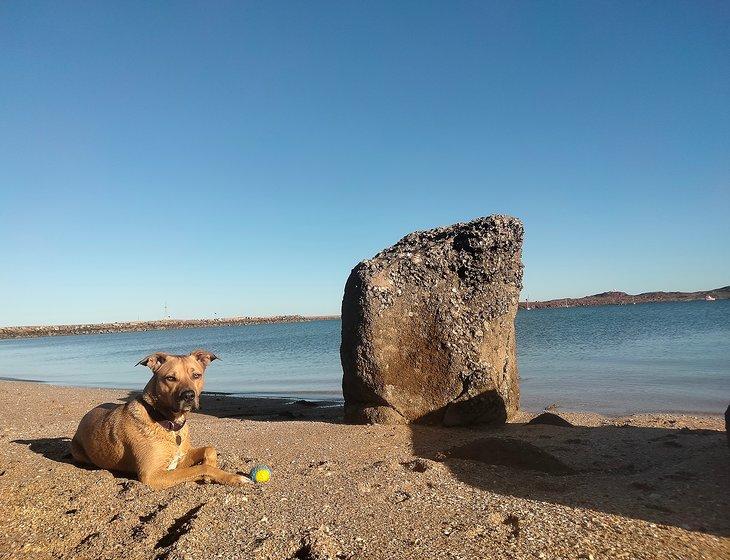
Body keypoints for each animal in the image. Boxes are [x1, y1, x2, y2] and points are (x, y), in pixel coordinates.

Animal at [70, 348, 249, 488]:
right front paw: (231, 477)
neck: (168, 422)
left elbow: (209, 449)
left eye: (196, 375)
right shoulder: (152, 475)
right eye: (170, 378)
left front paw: (211, 469)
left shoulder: (180, 459)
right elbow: (202, 468)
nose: (188, 395)